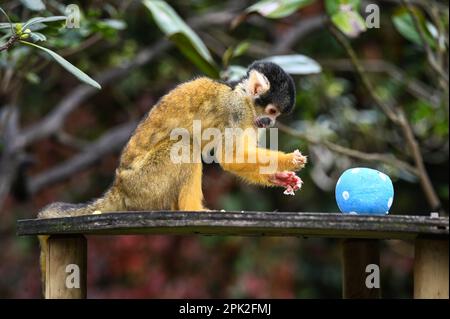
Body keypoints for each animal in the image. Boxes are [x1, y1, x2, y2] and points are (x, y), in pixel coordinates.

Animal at [37, 60, 308, 290]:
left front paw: (282, 177)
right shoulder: (238, 113)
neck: (241, 96)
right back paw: (193, 210)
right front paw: (289, 160)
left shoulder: (252, 120)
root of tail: (119, 187)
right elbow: (230, 158)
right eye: (271, 111)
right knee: (184, 144)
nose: (270, 123)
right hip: (146, 183)